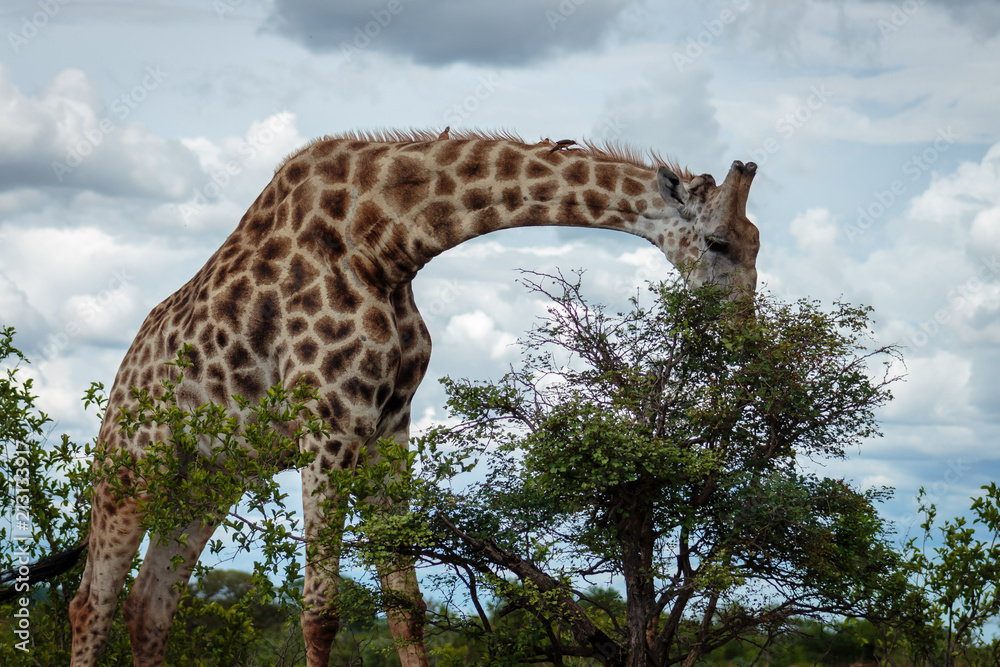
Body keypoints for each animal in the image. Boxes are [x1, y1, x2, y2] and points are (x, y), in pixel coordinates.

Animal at [12, 129, 760, 666]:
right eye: (720, 241)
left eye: (756, 243)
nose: (745, 338)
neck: (389, 242)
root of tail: (121, 378)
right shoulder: (328, 420)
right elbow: (320, 612)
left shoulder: (387, 426)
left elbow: (407, 608)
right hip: (132, 467)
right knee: (89, 605)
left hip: (205, 481)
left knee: (150, 608)